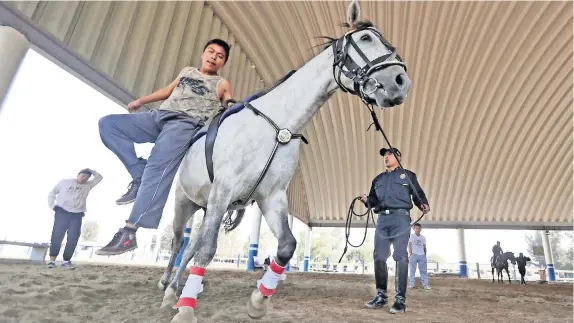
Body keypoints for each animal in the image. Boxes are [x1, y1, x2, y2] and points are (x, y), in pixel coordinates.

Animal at [160, 1, 412, 322]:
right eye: (366, 38)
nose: (402, 83)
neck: (276, 126)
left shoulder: (272, 197)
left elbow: (286, 246)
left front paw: (258, 301)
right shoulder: (223, 190)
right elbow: (207, 250)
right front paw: (186, 311)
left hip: (209, 207)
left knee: (191, 245)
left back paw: (177, 291)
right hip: (187, 202)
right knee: (180, 242)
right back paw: (169, 293)